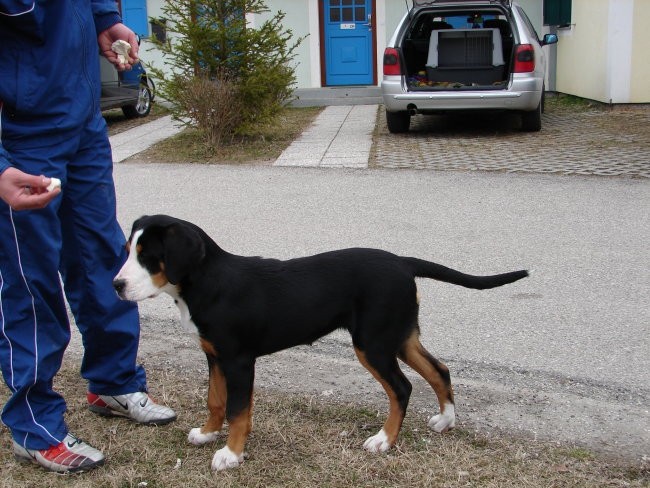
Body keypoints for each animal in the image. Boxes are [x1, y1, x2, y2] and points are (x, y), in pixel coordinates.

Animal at [111, 215, 528, 470]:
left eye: (149, 257)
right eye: (129, 252)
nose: (116, 285)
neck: (207, 282)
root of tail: (402, 262)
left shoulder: (239, 360)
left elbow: (238, 409)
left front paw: (230, 453)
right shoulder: (214, 356)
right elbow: (216, 399)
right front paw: (208, 433)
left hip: (374, 344)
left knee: (402, 387)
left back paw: (384, 440)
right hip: (400, 336)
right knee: (439, 370)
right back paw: (446, 419)